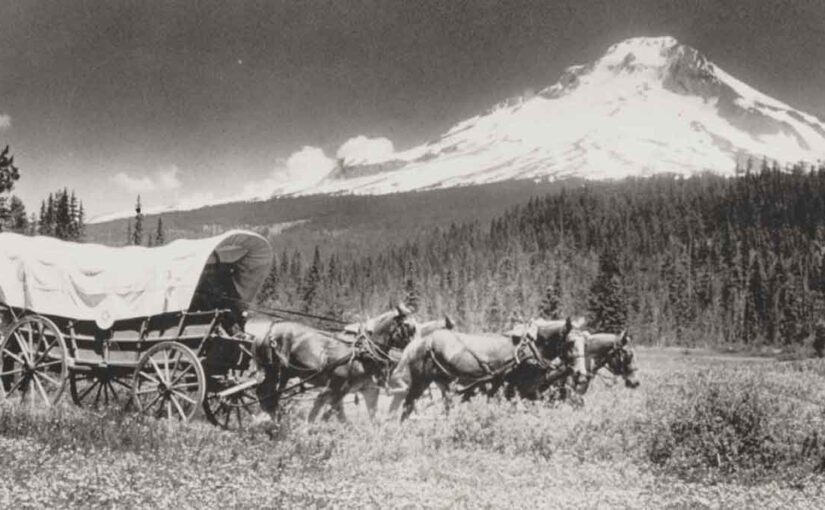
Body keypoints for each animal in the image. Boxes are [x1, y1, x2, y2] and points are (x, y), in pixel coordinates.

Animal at [251, 304, 418, 420]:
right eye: (407, 325)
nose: (417, 347)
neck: (363, 351)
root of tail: (270, 330)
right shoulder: (338, 387)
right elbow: (328, 413)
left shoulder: (366, 389)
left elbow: (370, 416)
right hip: (274, 370)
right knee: (266, 395)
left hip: (285, 373)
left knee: (268, 396)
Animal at [394, 316, 584, 420]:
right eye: (570, 343)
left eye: (586, 343)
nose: (581, 373)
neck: (530, 350)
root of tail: (421, 342)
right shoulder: (512, 390)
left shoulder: (529, 392)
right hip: (421, 381)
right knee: (407, 406)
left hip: (443, 383)